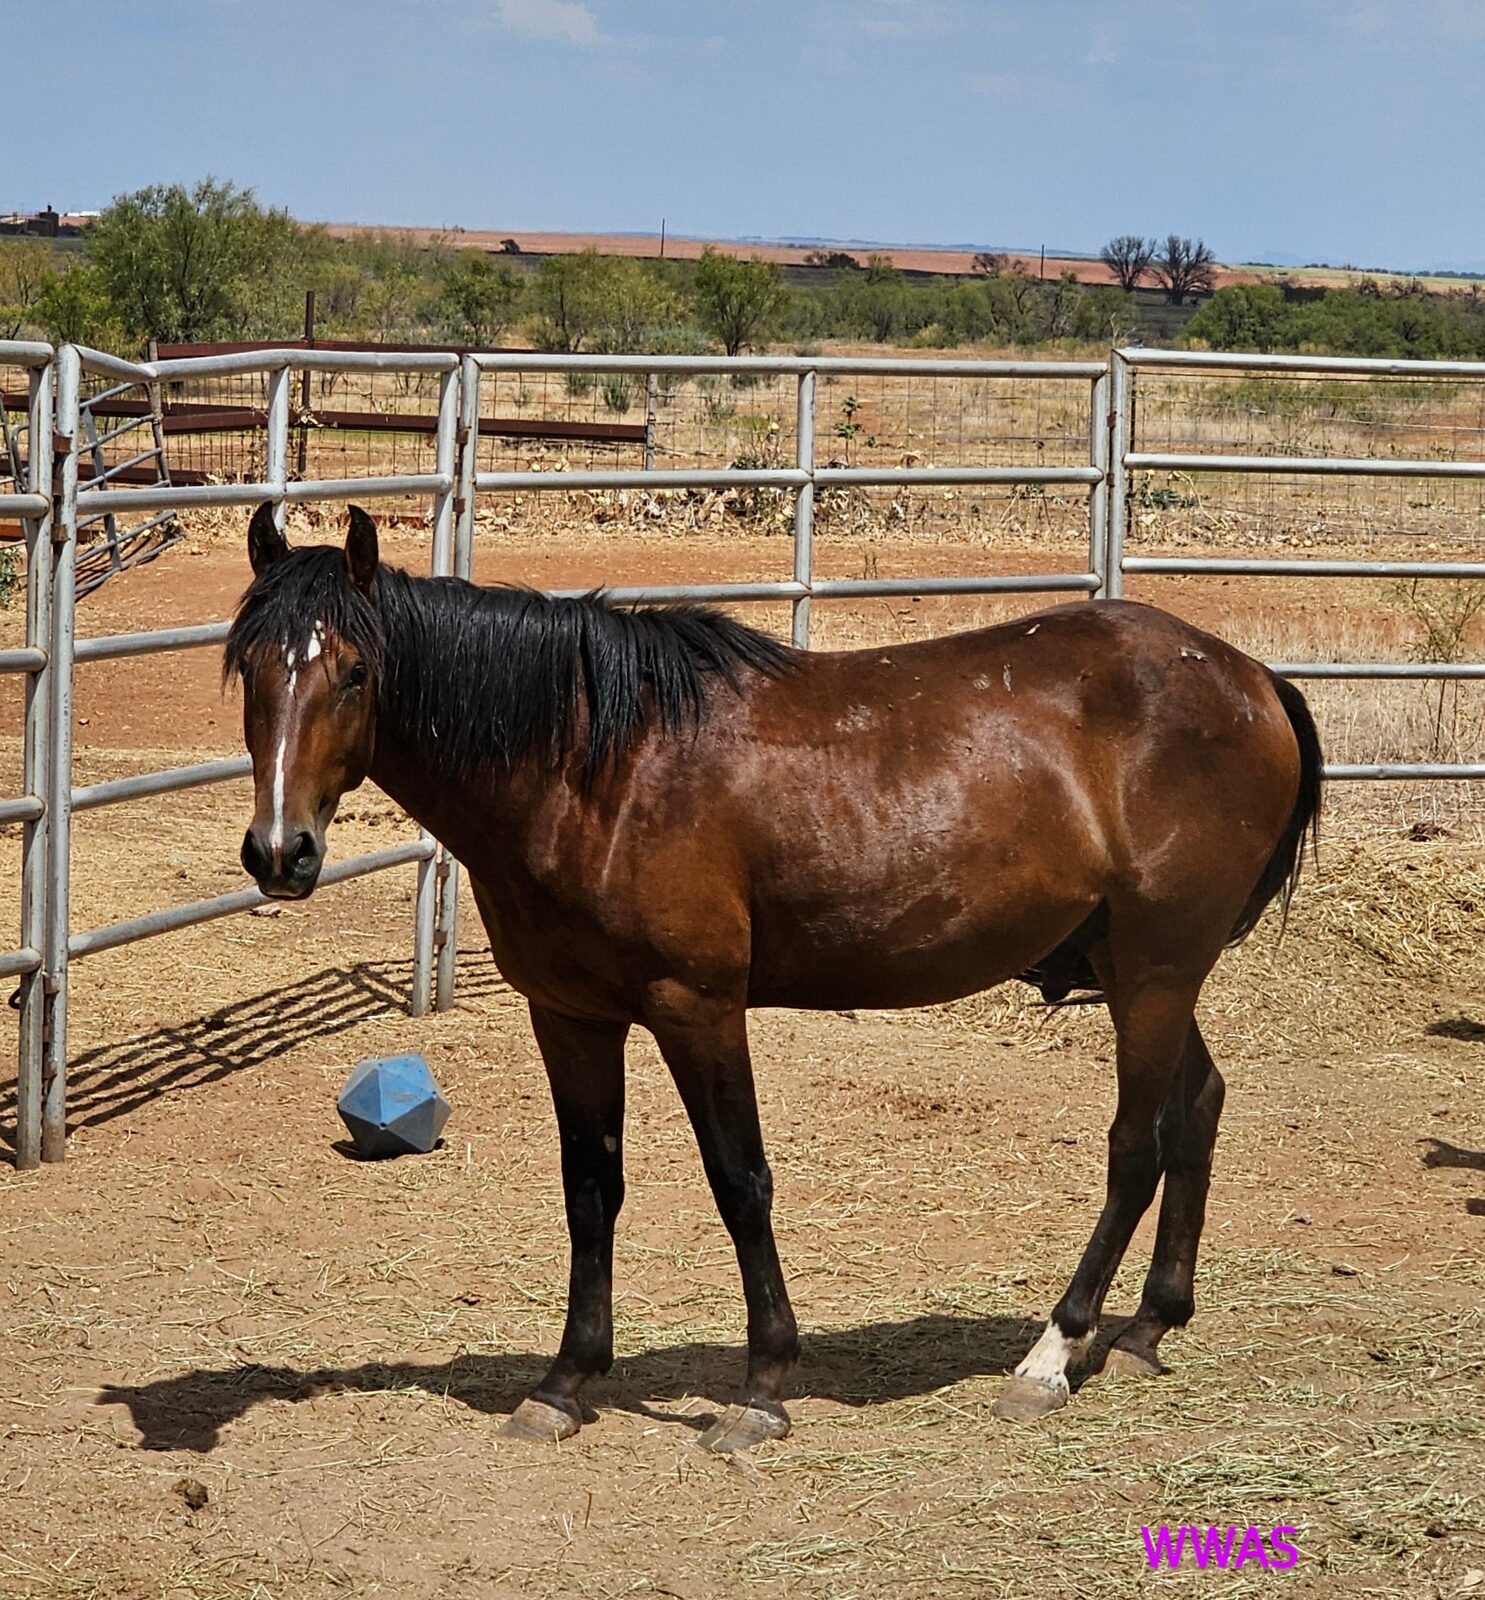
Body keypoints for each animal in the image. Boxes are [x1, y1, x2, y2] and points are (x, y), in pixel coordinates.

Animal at [226, 503, 1321, 1452]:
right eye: (247, 670)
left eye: (355, 672)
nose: (281, 852)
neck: (596, 767)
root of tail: (1249, 678)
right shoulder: (570, 1015)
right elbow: (590, 1187)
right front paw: (566, 1383)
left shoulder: (697, 1008)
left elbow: (739, 1181)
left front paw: (761, 1388)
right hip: (1140, 970)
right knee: (1198, 1105)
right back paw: (1146, 1327)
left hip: (1154, 969)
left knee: (1136, 1145)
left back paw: (1053, 1354)